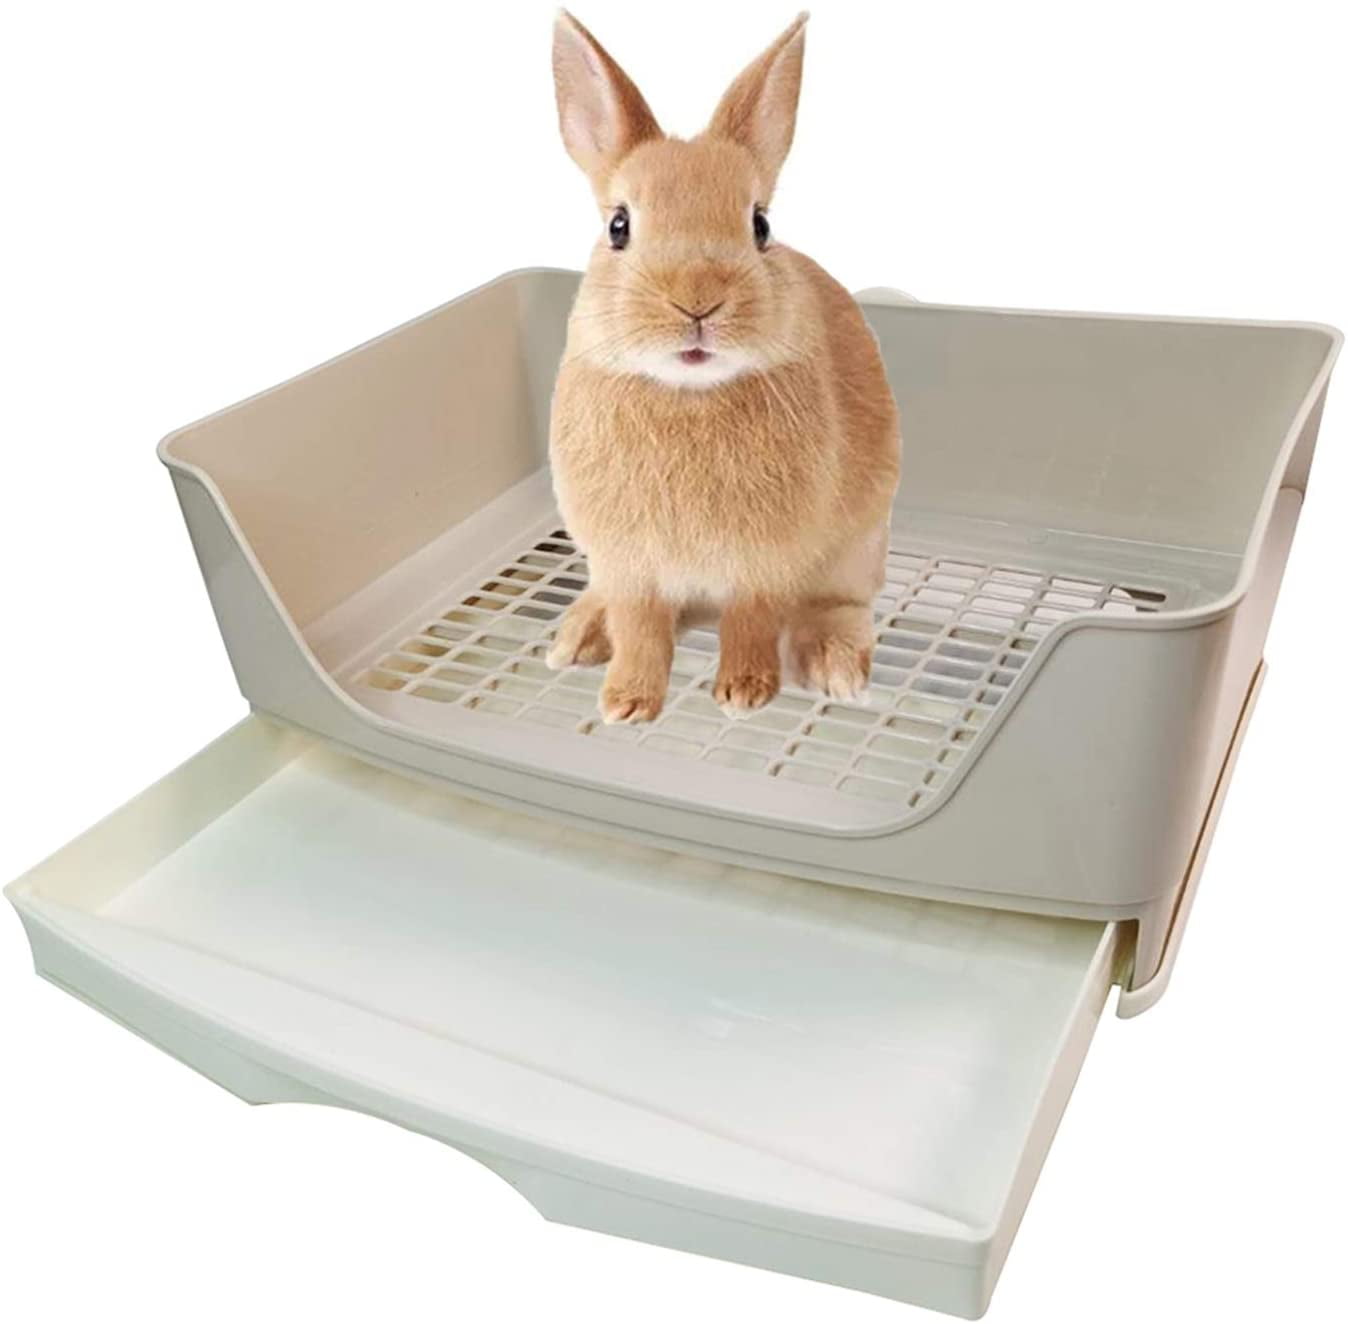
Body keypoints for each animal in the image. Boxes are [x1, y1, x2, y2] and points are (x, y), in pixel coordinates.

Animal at [547, 11, 900, 725]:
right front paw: (626, 702)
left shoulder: (763, 567)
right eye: (619, 226)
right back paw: (579, 635)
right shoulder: (629, 568)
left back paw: (835, 666)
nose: (697, 300)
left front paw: (744, 693)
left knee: (837, 606)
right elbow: (640, 630)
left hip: (857, 550)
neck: (687, 393)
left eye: (760, 225)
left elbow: (751, 623)